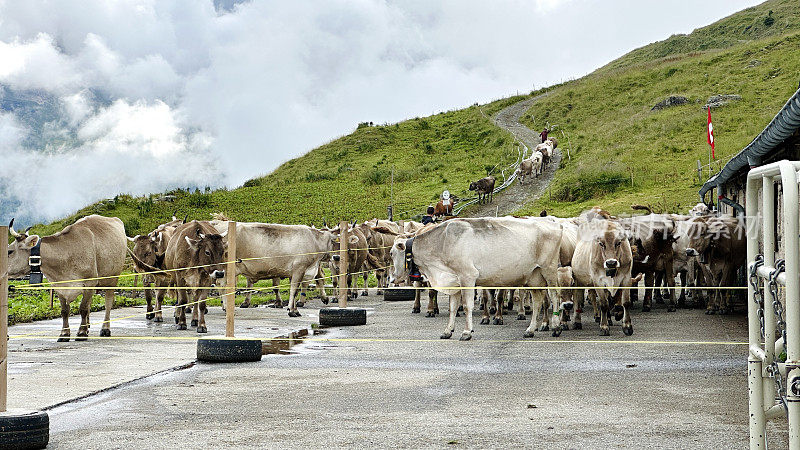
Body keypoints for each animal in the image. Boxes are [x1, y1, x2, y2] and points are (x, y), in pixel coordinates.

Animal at [388, 216, 564, 340]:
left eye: (391, 253)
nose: (391, 279)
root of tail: (554, 222)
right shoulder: (454, 282)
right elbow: (453, 308)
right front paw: (448, 330)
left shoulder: (467, 276)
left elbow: (467, 306)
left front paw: (467, 332)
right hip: (533, 276)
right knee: (538, 301)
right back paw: (530, 330)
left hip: (549, 270)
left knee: (555, 296)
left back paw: (556, 327)